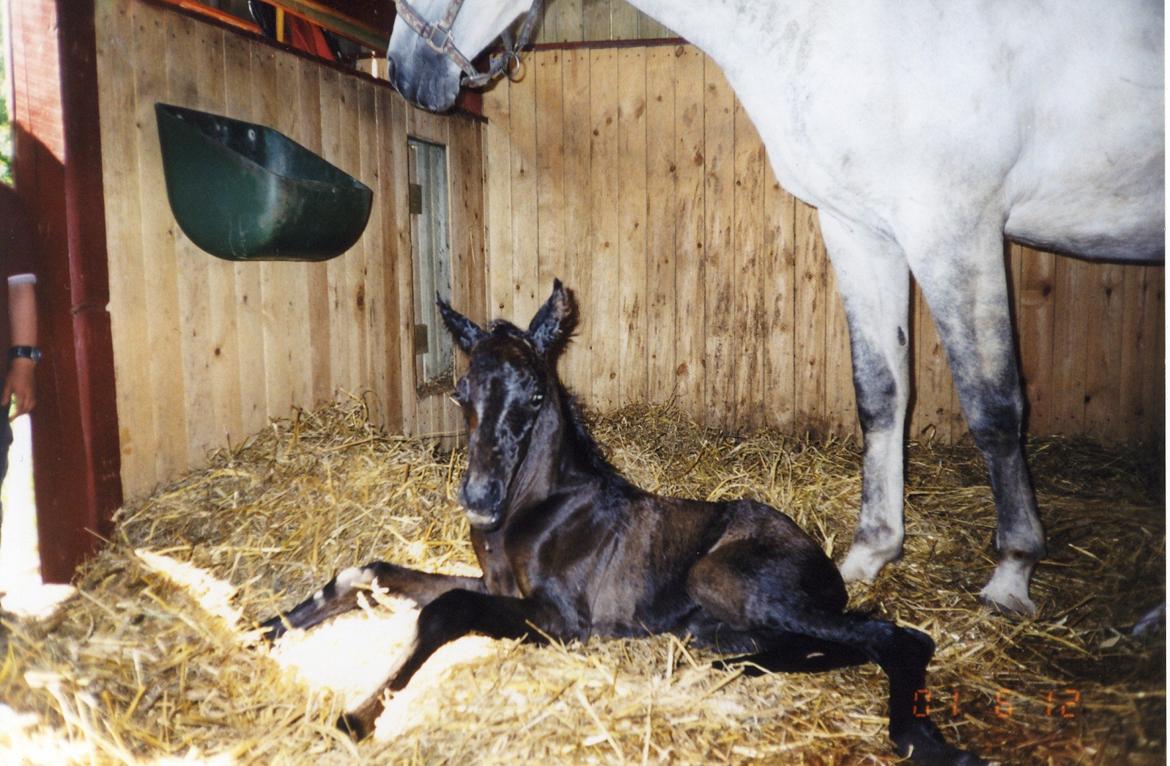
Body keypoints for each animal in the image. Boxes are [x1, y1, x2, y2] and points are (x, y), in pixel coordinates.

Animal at [260, 283, 982, 766]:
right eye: (462, 393)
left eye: (535, 395)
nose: (480, 498)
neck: (537, 510)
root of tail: (825, 565)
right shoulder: (499, 587)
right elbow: (371, 571)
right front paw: (269, 628)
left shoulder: (562, 619)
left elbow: (445, 611)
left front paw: (358, 714)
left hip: (722, 574)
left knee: (896, 636)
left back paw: (921, 739)